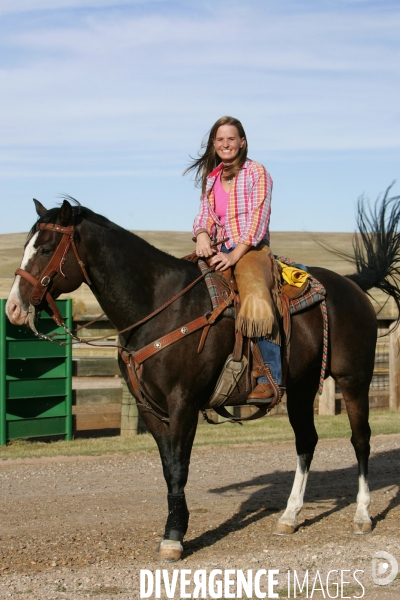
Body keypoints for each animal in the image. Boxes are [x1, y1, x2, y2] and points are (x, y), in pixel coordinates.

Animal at [5, 192, 400, 564]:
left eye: (44, 248)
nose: (12, 308)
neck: (160, 306)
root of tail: (351, 284)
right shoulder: (149, 407)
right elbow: (168, 468)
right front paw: (173, 529)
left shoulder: (183, 402)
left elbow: (180, 467)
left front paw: (174, 537)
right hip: (302, 388)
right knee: (307, 442)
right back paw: (289, 516)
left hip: (354, 380)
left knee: (360, 440)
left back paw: (362, 515)